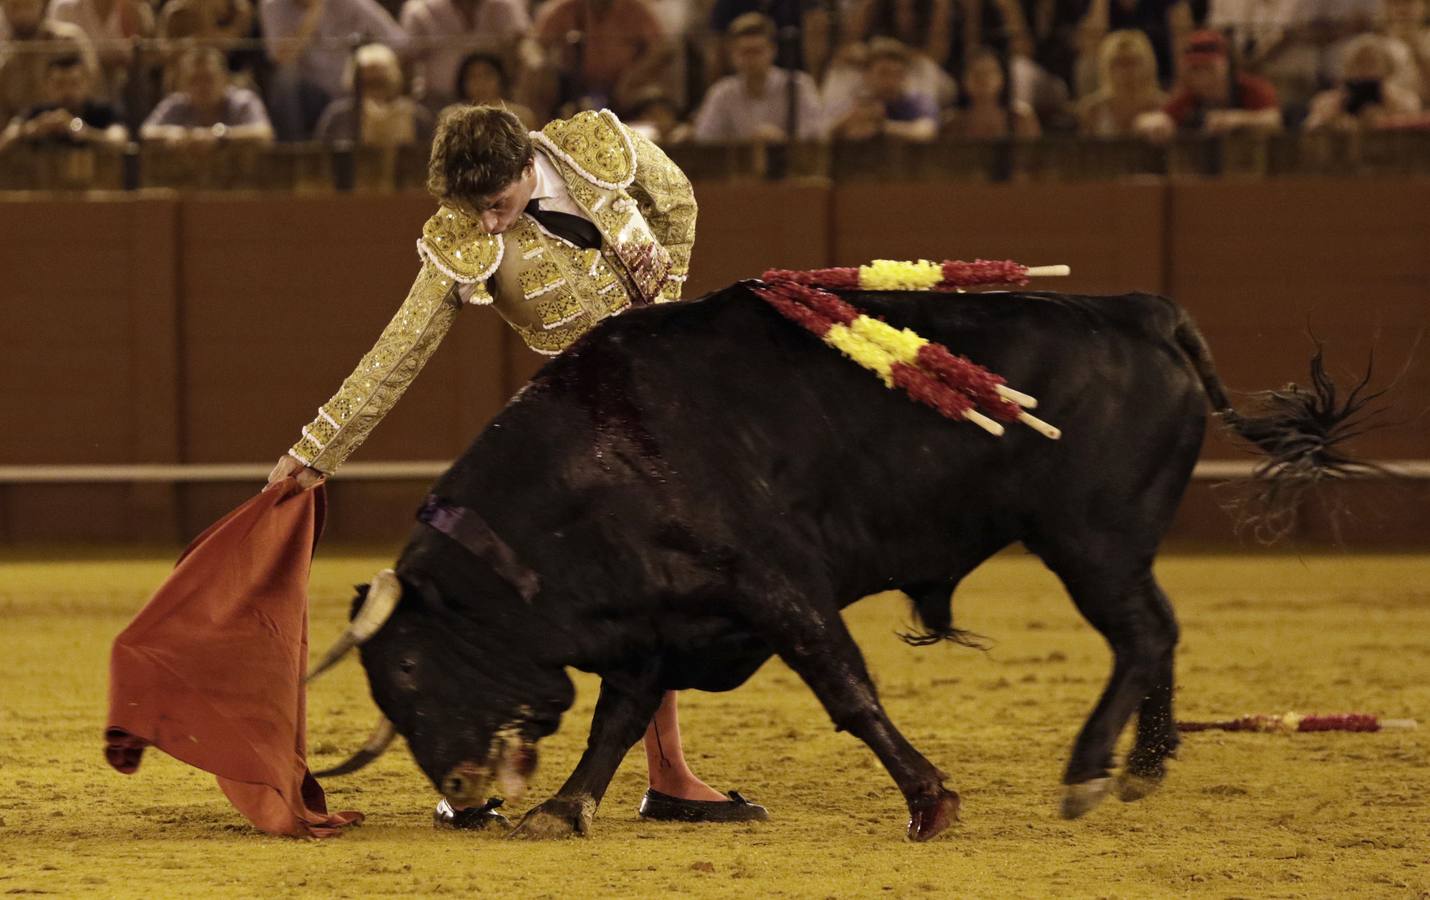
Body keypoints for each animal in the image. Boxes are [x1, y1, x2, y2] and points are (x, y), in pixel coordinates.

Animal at [316, 280, 1372, 835]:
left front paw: (931, 801)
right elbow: (619, 718)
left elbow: (847, 690)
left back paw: (1085, 771)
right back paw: (1144, 766)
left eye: (409, 669)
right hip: (1112, 550)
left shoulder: (779, 587)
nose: (457, 795)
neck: (596, 463)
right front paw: (565, 808)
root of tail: (1140, 311)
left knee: (1140, 634)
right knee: (1161, 631)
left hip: (1091, 543)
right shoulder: (657, 622)